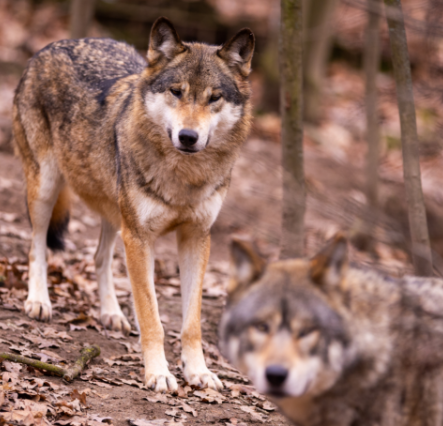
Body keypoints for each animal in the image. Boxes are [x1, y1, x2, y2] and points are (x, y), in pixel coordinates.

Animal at [13, 17, 255, 392]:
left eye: (214, 97)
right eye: (176, 91)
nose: (188, 137)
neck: (184, 178)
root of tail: (52, 44)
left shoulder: (196, 238)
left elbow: (192, 323)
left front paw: (198, 372)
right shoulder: (140, 239)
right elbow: (151, 316)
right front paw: (158, 373)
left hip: (115, 214)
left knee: (99, 258)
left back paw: (111, 313)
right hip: (46, 187)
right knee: (36, 244)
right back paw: (38, 301)